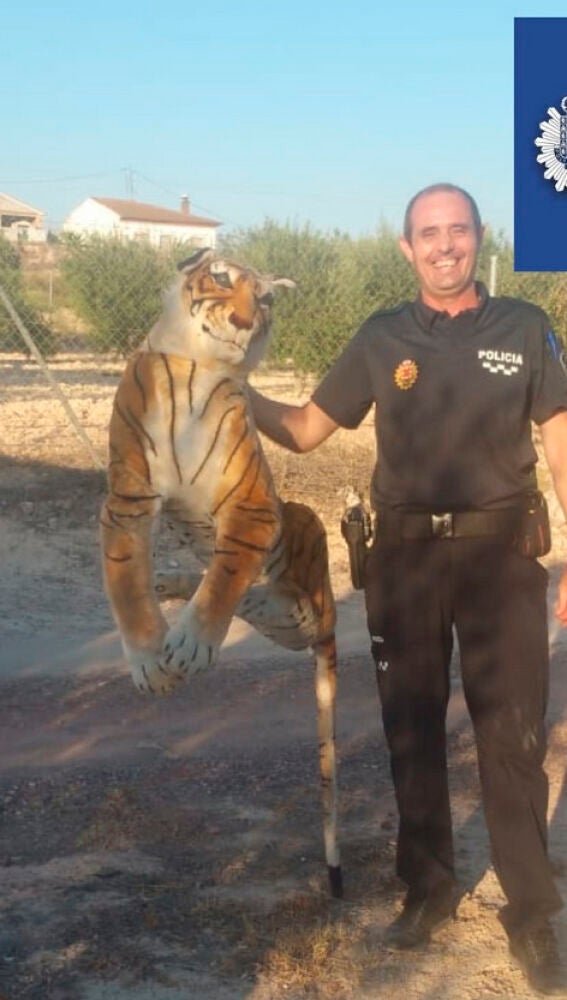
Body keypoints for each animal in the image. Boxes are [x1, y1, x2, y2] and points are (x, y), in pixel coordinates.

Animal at [100, 247, 342, 897]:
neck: (197, 368)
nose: (243, 321)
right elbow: (126, 584)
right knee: (236, 591)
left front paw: (191, 646)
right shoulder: (128, 500)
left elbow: (228, 573)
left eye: (267, 298)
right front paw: (151, 662)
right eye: (223, 278)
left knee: (289, 604)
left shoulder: (253, 506)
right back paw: (170, 587)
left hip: (303, 563)